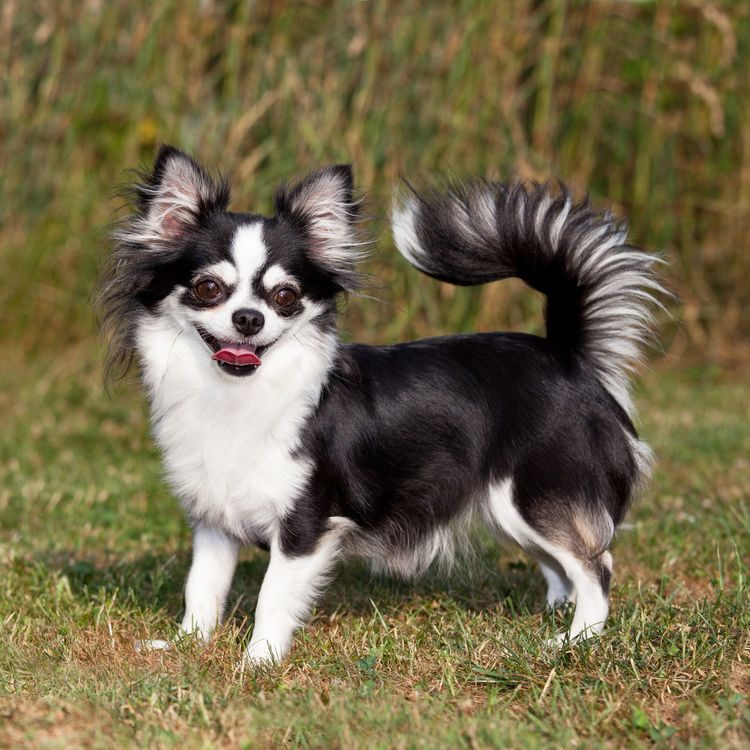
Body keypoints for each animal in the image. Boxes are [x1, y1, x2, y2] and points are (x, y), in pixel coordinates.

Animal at [95, 147, 664, 664]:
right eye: (209, 288)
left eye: (284, 297)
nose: (249, 319)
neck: (238, 394)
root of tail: (568, 355)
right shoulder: (215, 521)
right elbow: (202, 587)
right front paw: (187, 644)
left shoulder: (306, 527)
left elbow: (272, 598)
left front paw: (258, 661)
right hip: (509, 509)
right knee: (563, 565)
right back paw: (553, 615)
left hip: (535, 495)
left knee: (596, 565)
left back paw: (576, 640)